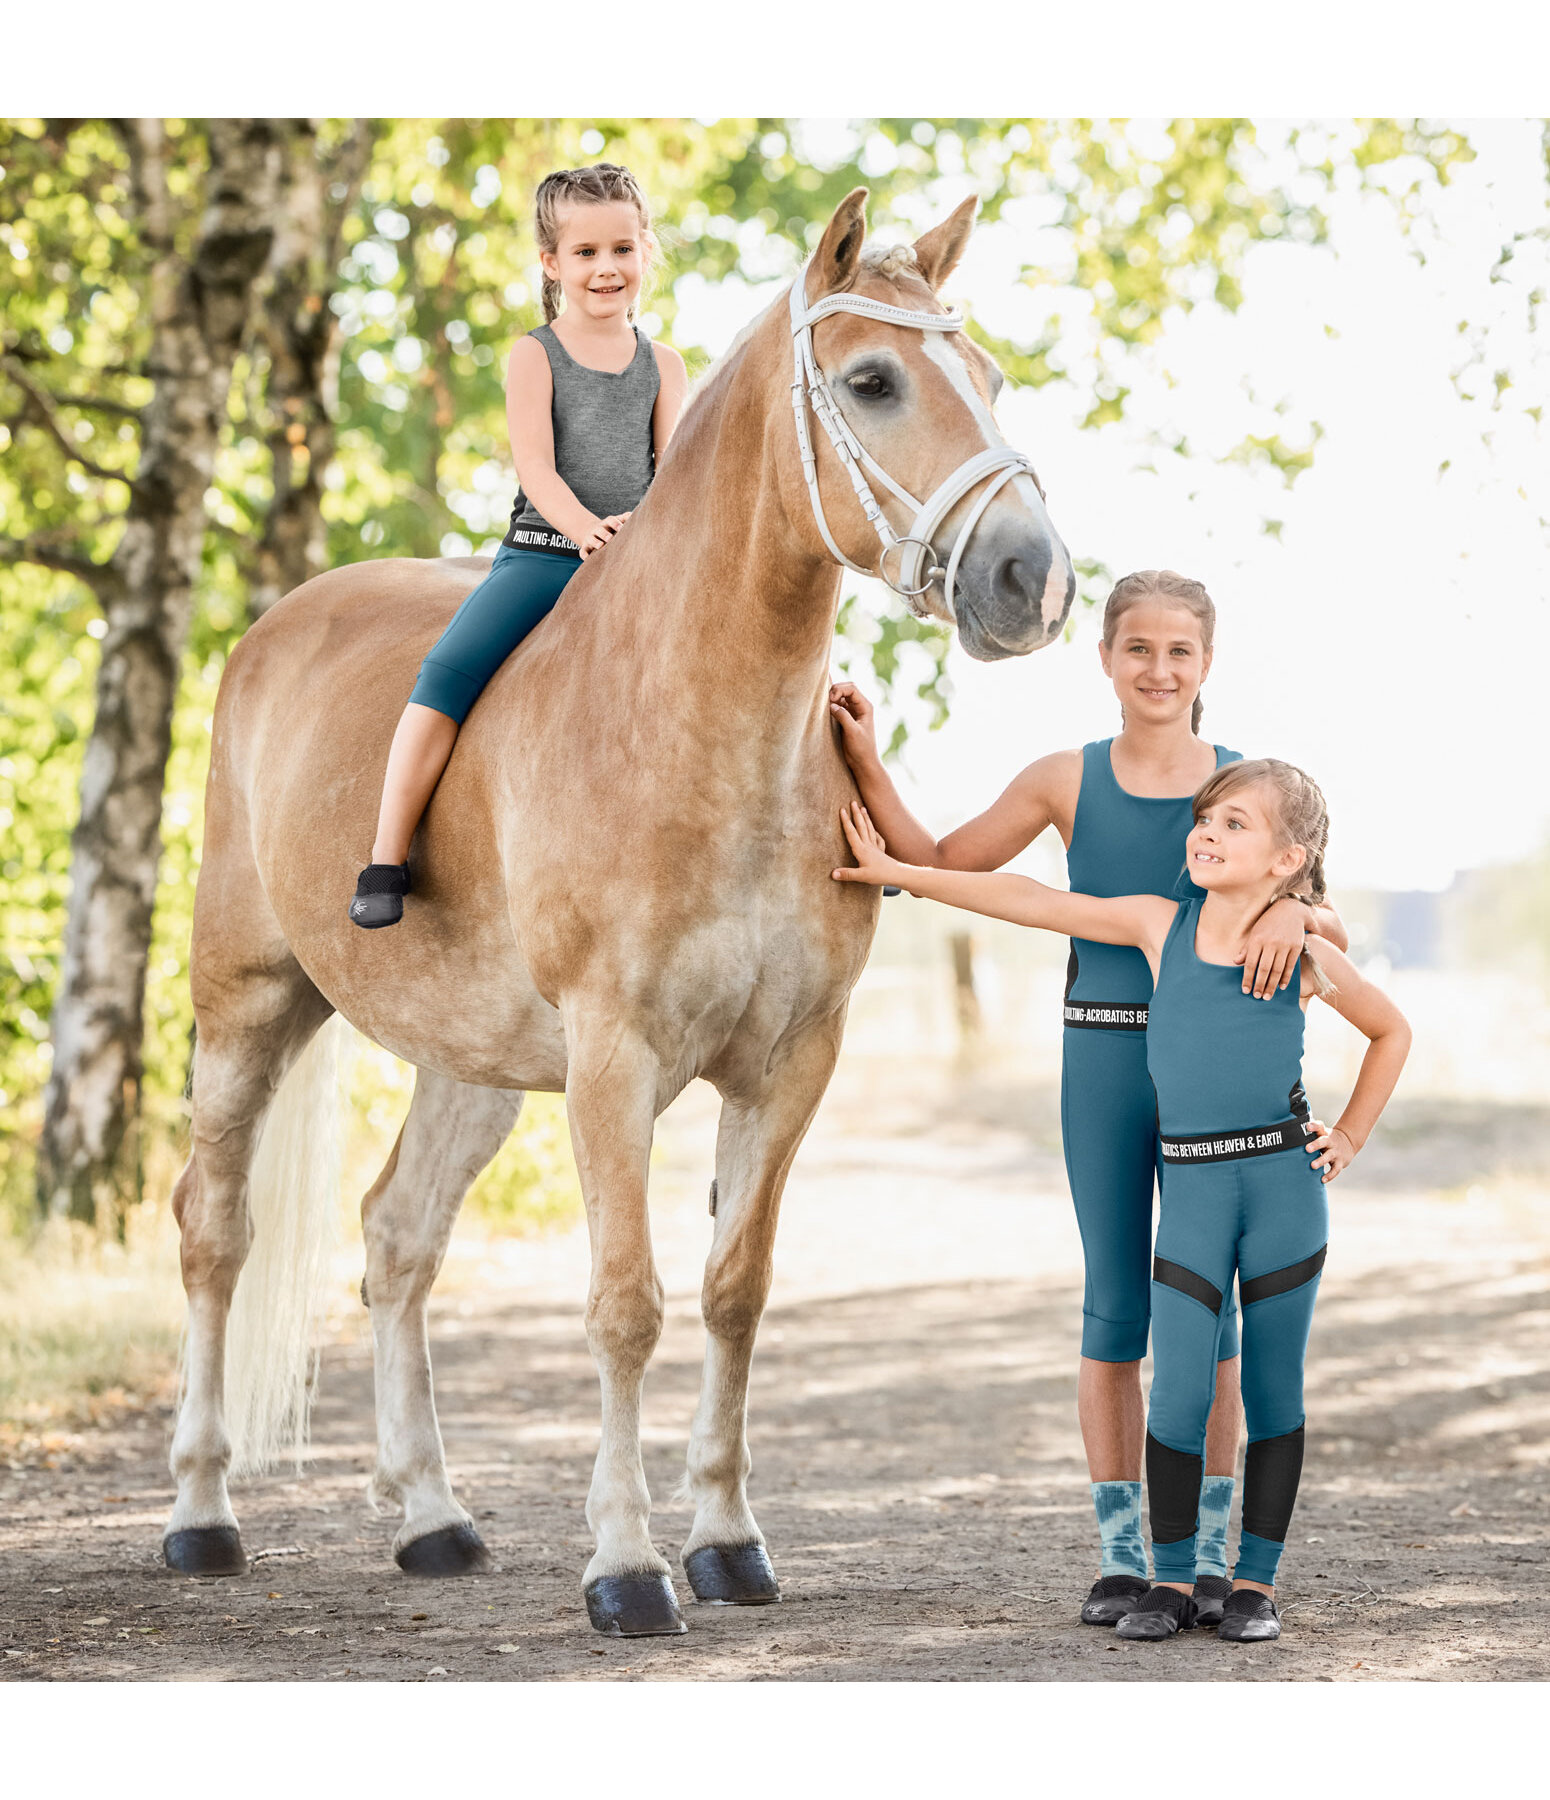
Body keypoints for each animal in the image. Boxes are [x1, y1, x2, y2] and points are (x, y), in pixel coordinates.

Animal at [162, 189, 1072, 1641]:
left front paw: (727, 1544)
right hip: (247, 1006)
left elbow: (733, 1294)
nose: (1029, 579)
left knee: (397, 1240)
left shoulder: (790, 1063)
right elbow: (626, 1306)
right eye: (872, 381)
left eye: (986, 378)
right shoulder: (613, 1060)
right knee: (214, 1230)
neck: (698, 724)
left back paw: (432, 1519)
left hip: (469, 1064)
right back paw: (202, 1516)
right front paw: (628, 1567)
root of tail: (270, 636)